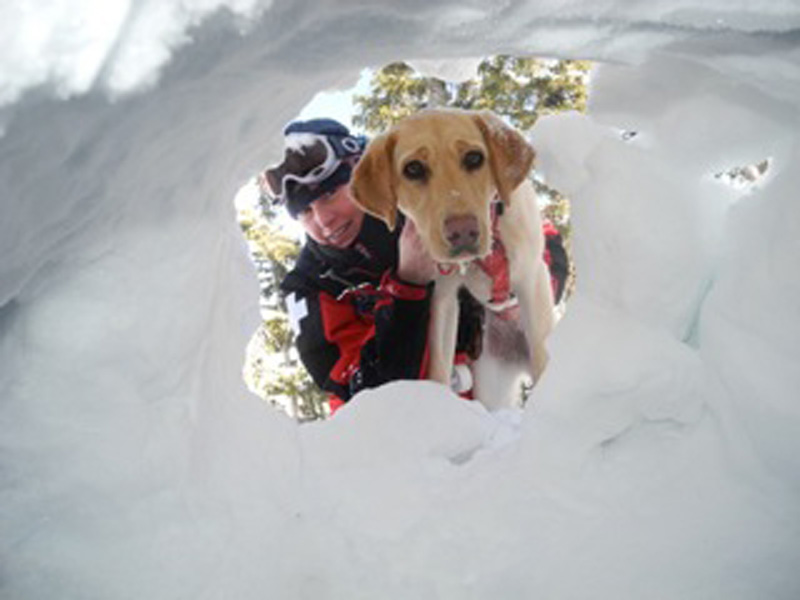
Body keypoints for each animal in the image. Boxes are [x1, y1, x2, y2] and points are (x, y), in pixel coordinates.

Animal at [354, 108, 552, 408]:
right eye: (413, 168)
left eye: (474, 158)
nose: (463, 231)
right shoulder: (442, 297)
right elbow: (438, 367)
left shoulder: (531, 280)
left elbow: (543, 356)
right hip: (491, 382)